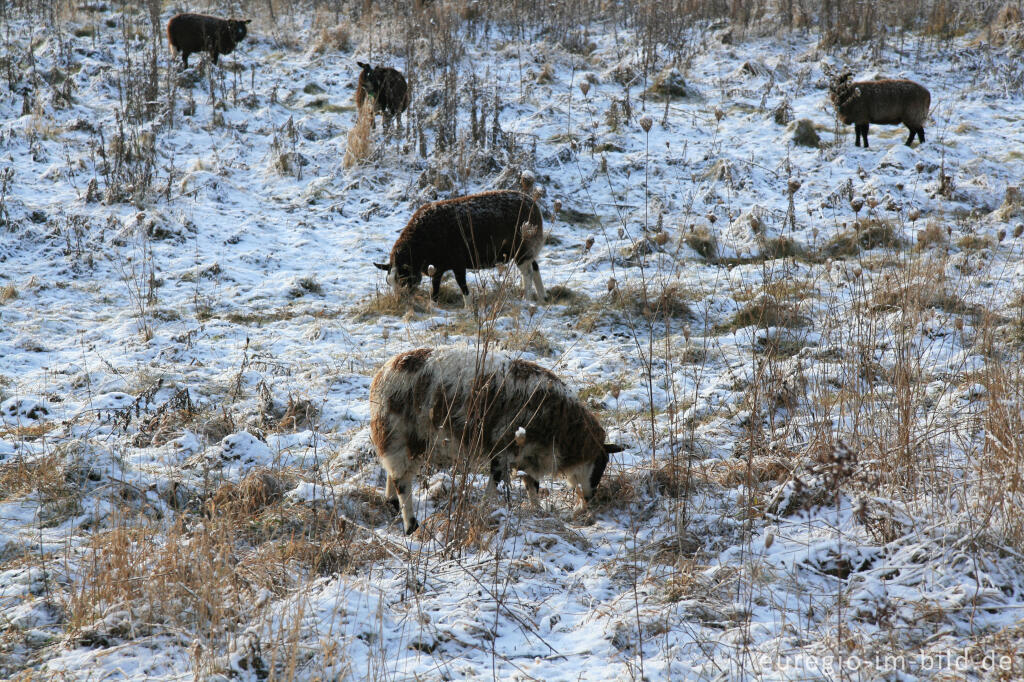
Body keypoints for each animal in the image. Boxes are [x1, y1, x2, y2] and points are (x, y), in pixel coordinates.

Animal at [370, 346, 622, 532]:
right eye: (600, 463)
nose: (589, 499)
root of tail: (382, 374)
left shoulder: (528, 453)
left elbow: (532, 484)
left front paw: (538, 512)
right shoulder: (503, 448)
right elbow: (496, 481)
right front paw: (486, 508)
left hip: (398, 440)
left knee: (392, 473)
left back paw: (392, 505)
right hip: (398, 434)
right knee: (402, 481)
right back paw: (410, 525)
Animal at [374, 188, 548, 303]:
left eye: (403, 280)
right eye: (389, 282)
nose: (398, 302)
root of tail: (534, 205)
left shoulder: (458, 263)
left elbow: (462, 285)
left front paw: (468, 308)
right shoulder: (438, 266)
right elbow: (435, 286)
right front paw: (434, 303)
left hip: (522, 249)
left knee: (528, 273)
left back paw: (526, 298)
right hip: (529, 248)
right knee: (535, 267)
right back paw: (541, 297)